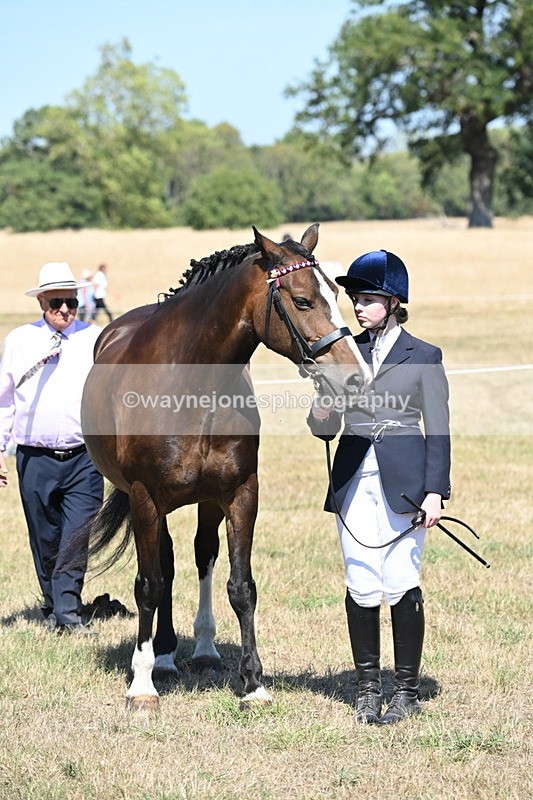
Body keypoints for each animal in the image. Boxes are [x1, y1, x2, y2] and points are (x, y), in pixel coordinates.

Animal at [78, 224, 370, 710]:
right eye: (302, 300)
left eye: (336, 294)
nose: (354, 378)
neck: (192, 385)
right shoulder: (144, 497)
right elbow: (149, 585)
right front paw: (142, 686)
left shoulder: (239, 494)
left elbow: (240, 585)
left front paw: (253, 683)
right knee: (164, 567)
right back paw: (162, 658)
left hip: (206, 502)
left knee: (200, 554)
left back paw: (201, 649)